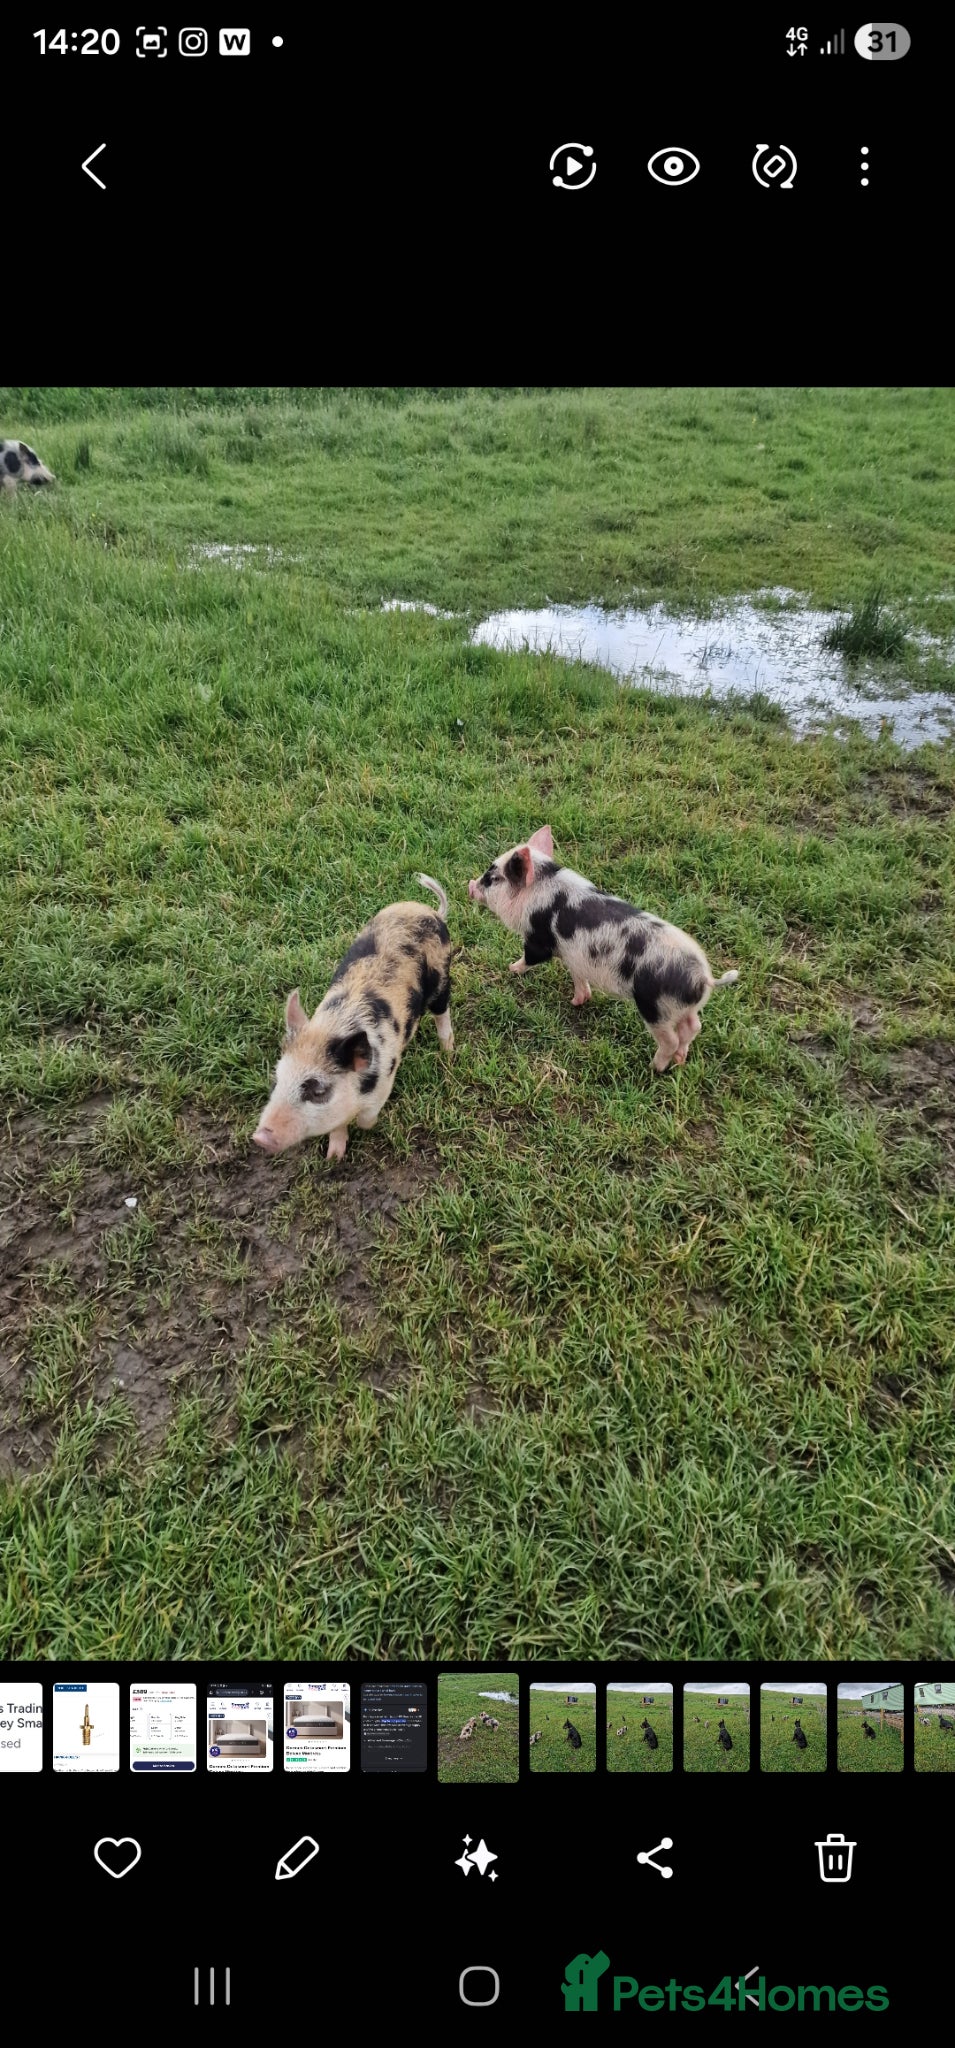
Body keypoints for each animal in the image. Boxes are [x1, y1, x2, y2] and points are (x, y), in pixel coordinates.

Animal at [252, 875, 453, 1162]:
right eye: (276, 1081)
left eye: (318, 1091)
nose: (259, 1137)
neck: (331, 1027)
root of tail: (431, 912)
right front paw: (334, 1157)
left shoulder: (385, 1080)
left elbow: (367, 1118)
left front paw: (364, 1128)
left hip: (441, 975)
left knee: (442, 1012)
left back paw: (448, 1052)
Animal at [468, 825, 738, 1073]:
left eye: (493, 879)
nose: (469, 885)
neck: (539, 889)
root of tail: (703, 978)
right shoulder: (574, 956)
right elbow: (578, 977)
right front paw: (577, 1002)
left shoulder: (539, 938)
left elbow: (532, 957)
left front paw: (511, 968)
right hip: (682, 1009)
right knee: (693, 1027)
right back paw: (681, 1061)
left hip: (656, 1008)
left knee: (671, 1039)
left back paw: (654, 1068)